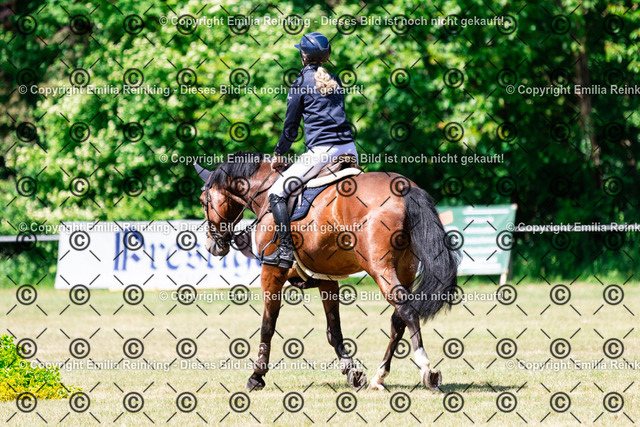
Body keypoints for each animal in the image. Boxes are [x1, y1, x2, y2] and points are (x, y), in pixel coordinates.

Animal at [196, 152, 459, 392]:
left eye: (202, 200)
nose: (212, 245)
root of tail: (404, 186)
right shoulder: (327, 279)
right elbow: (334, 331)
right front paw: (352, 372)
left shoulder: (271, 274)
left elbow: (267, 327)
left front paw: (256, 376)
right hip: (405, 269)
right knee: (398, 319)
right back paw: (379, 377)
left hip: (380, 268)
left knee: (407, 310)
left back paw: (426, 369)